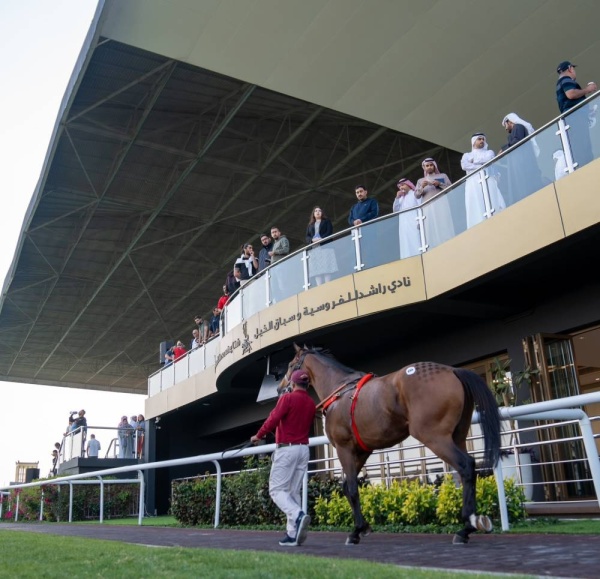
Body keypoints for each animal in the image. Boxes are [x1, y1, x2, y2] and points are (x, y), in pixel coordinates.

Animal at [280, 346, 502, 548]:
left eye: (290, 365)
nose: (281, 388)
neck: (340, 392)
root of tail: (453, 371)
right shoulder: (362, 451)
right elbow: (346, 486)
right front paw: (363, 527)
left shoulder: (344, 448)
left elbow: (351, 488)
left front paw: (356, 531)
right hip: (458, 436)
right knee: (468, 469)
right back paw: (469, 526)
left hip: (434, 436)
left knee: (466, 465)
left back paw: (467, 526)